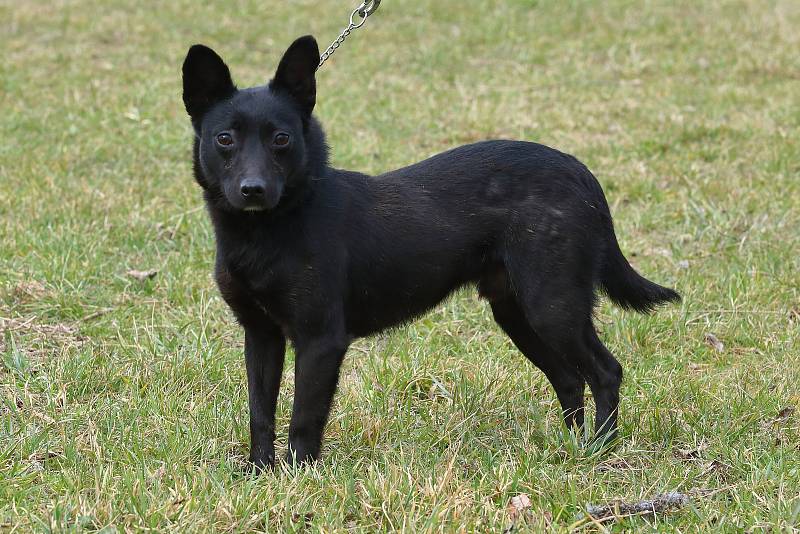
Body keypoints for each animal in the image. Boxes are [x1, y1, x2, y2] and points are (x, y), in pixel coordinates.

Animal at [183, 35, 680, 468]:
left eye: (281, 139)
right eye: (225, 139)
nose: (253, 190)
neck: (270, 229)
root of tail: (582, 175)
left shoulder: (321, 339)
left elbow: (304, 419)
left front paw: (299, 477)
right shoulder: (260, 335)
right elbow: (260, 413)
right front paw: (260, 472)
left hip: (553, 307)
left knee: (606, 372)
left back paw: (600, 449)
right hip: (518, 313)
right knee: (571, 378)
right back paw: (571, 446)